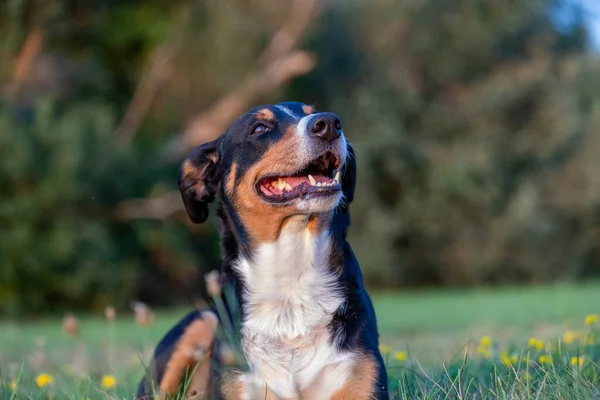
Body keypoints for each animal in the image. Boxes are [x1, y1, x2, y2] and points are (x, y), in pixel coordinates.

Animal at [136, 103, 390, 400]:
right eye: (259, 128)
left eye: (312, 112)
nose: (329, 124)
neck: (291, 281)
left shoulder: (360, 379)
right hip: (199, 323)